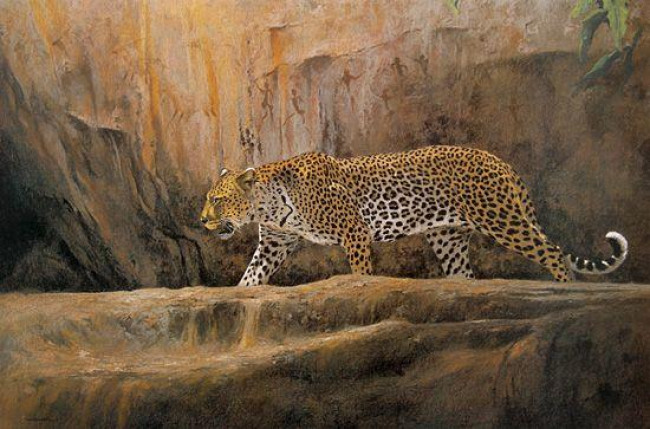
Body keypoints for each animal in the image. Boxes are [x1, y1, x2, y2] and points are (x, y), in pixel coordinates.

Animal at [200, 145, 628, 286]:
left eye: (217, 201)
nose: (202, 220)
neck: (271, 204)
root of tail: (500, 162)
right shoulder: (274, 244)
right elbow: (250, 278)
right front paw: (240, 296)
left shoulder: (354, 233)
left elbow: (361, 272)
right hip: (449, 239)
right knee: (464, 276)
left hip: (502, 218)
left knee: (553, 252)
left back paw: (568, 290)